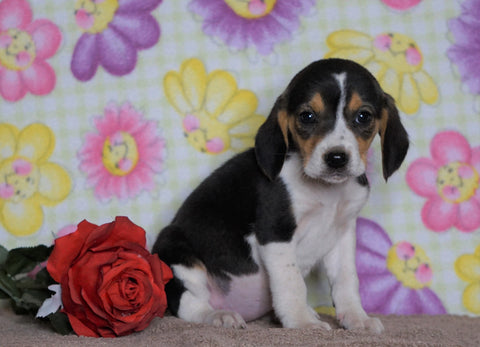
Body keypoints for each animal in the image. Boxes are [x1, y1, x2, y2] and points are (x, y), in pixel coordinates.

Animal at [154, 58, 408, 334]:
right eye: (307, 116)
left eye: (364, 116)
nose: (336, 158)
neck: (327, 191)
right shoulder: (275, 231)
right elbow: (292, 283)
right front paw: (302, 323)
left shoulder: (342, 235)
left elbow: (346, 281)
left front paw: (356, 318)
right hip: (177, 254)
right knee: (188, 303)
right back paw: (219, 315)